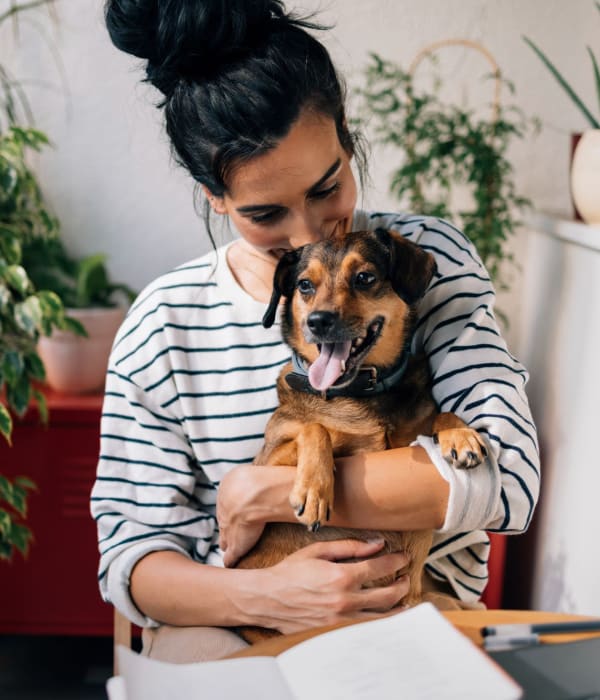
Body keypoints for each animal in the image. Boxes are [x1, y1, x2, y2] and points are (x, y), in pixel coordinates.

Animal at [234, 228, 488, 640]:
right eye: (305, 285)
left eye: (365, 278)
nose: (319, 321)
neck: (361, 394)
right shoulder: (265, 462)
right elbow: (314, 427)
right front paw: (314, 490)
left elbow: (442, 412)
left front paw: (460, 435)